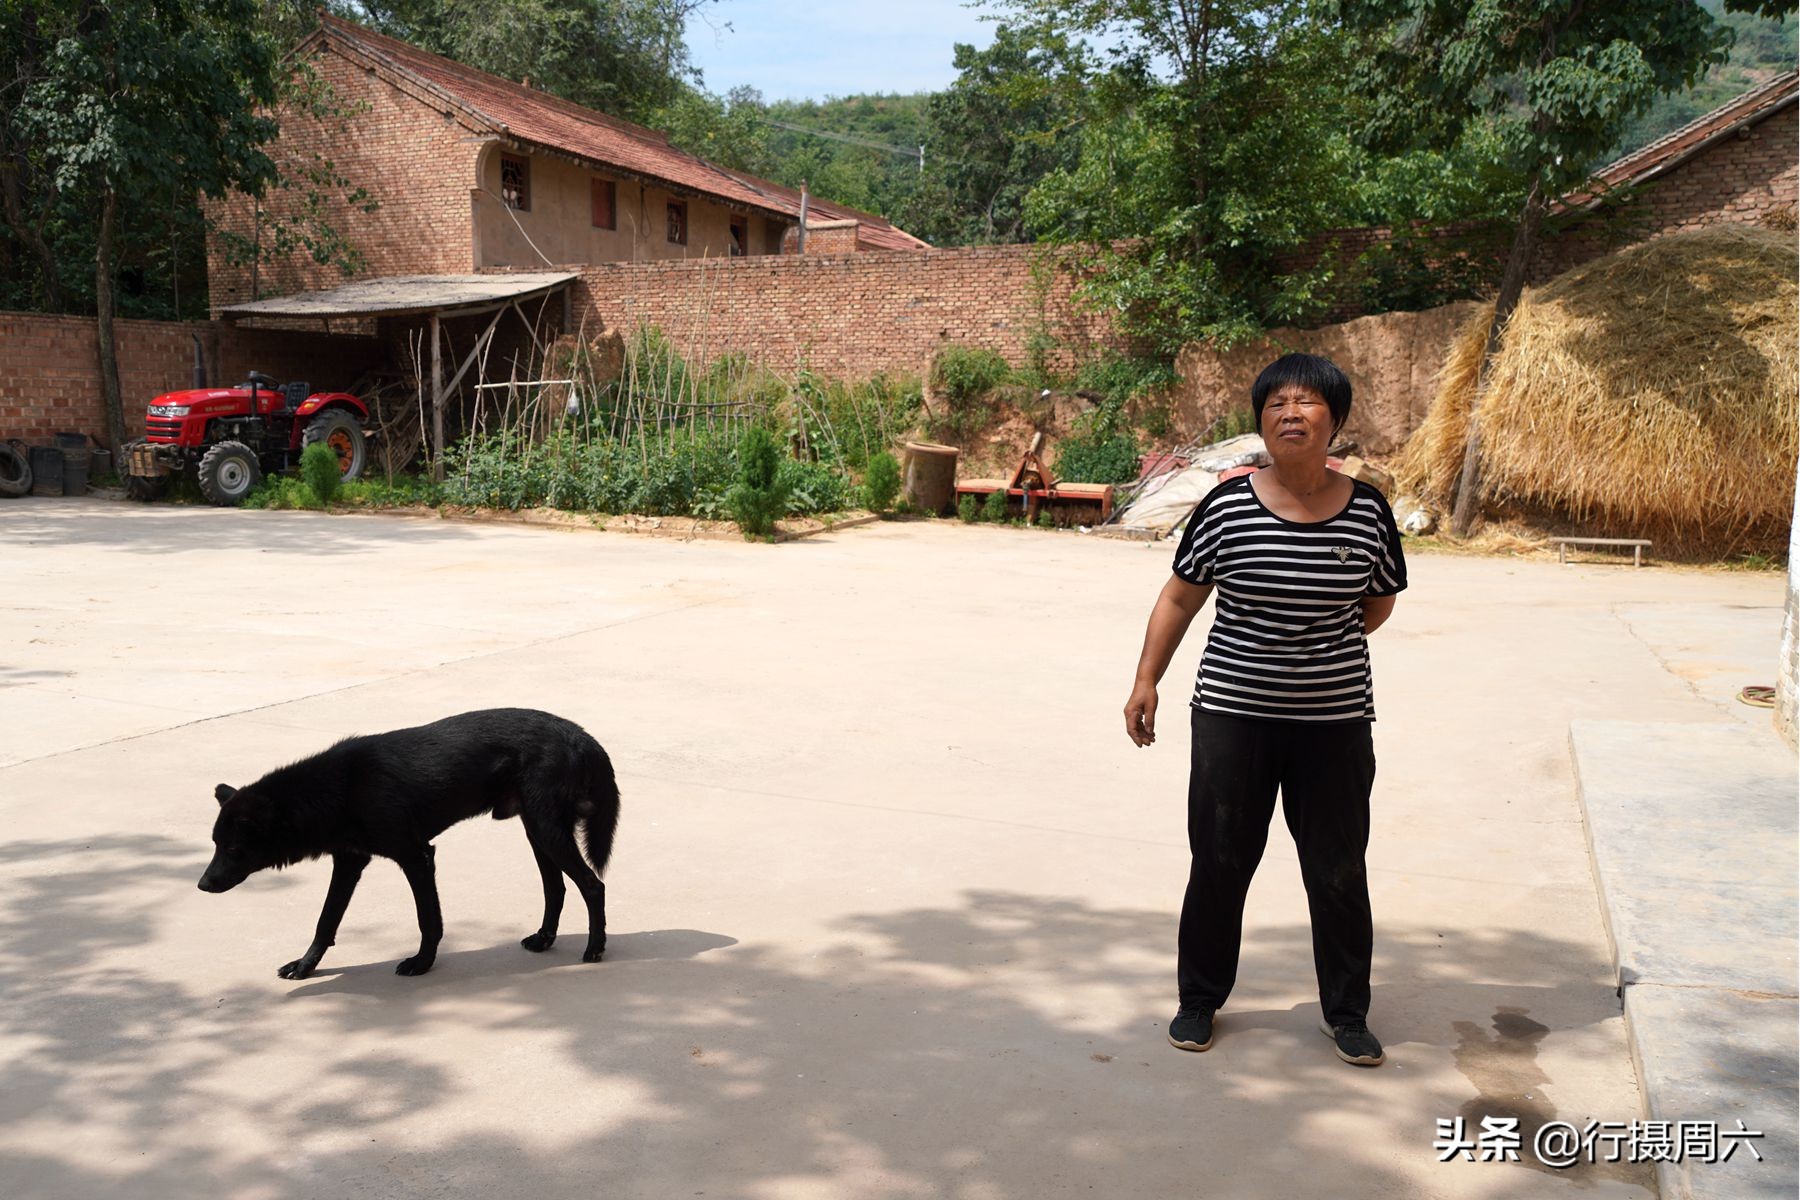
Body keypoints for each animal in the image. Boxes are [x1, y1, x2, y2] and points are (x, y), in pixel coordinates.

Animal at [198, 708, 619, 978]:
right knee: (557, 887)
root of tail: (580, 736)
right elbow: (326, 919)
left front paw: (422, 963)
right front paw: (305, 966)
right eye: (215, 844)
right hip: (537, 831)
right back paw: (545, 940)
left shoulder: (417, 856)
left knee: (593, 885)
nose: (202, 885)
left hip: (547, 830)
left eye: (233, 849)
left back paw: (595, 947)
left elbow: (427, 919)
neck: (337, 787)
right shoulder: (349, 862)